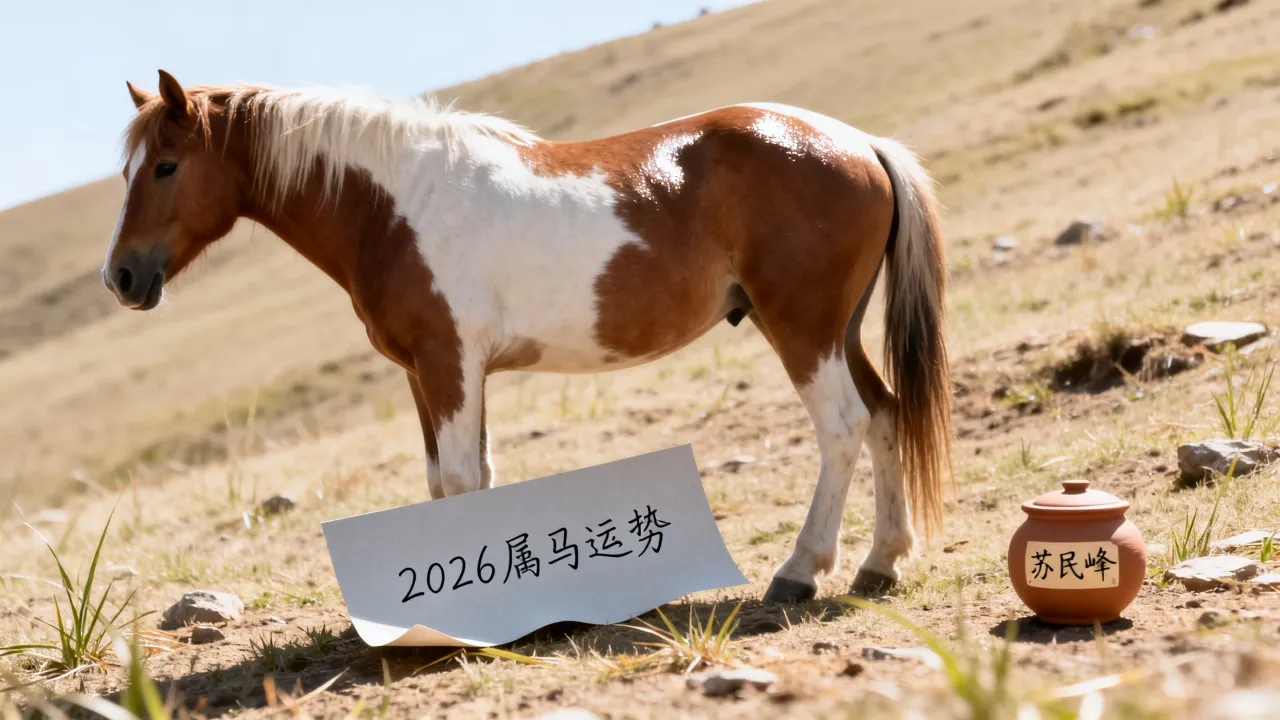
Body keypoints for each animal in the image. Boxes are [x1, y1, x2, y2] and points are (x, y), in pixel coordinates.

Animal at [103, 70, 952, 604]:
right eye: (128, 171)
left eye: (167, 166)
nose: (121, 277)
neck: (394, 203)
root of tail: (858, 143)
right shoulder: (428, 372)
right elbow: (454, 480)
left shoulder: (449, 363)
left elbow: (458, 481)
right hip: (838, 331)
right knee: (885, 416)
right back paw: (880, 564)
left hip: (802, 329)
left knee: (843, 427)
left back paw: (801, 572)